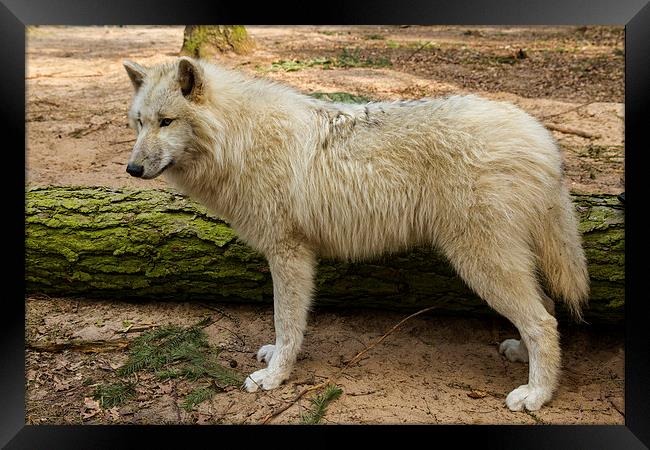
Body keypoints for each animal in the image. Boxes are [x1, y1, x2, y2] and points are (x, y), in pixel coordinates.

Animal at [121, 56, 588, 412]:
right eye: (139, 124)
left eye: (167, 122)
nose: (132, 169)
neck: (239, 138)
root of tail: (543, 137)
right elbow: (287, 326)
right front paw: (277, 363)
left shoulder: (288, 253)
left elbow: (286, 322)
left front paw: (275, 377)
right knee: (548, 309)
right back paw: (522, 357)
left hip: (480, 262)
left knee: (543, 320)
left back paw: (537, 395)